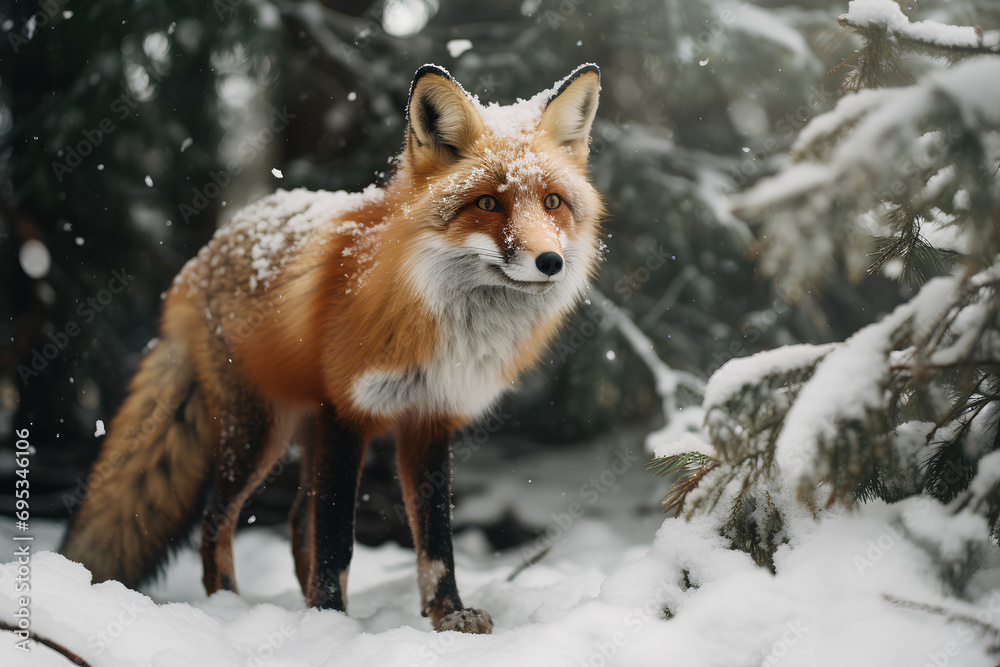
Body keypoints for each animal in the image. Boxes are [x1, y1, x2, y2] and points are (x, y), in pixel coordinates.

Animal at [64, 64, 608, 636]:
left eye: (552, 202)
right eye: (487, 203)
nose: (550, 262)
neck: (436, 321)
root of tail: (198, 263)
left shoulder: (429, 418)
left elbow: (436, 542)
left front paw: (448, 614)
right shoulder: (348, 412)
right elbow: (337, 541)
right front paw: (329, 622)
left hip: (304, 426)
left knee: (297, 521)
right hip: (259, 430)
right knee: (219, 523)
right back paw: (230, 607)